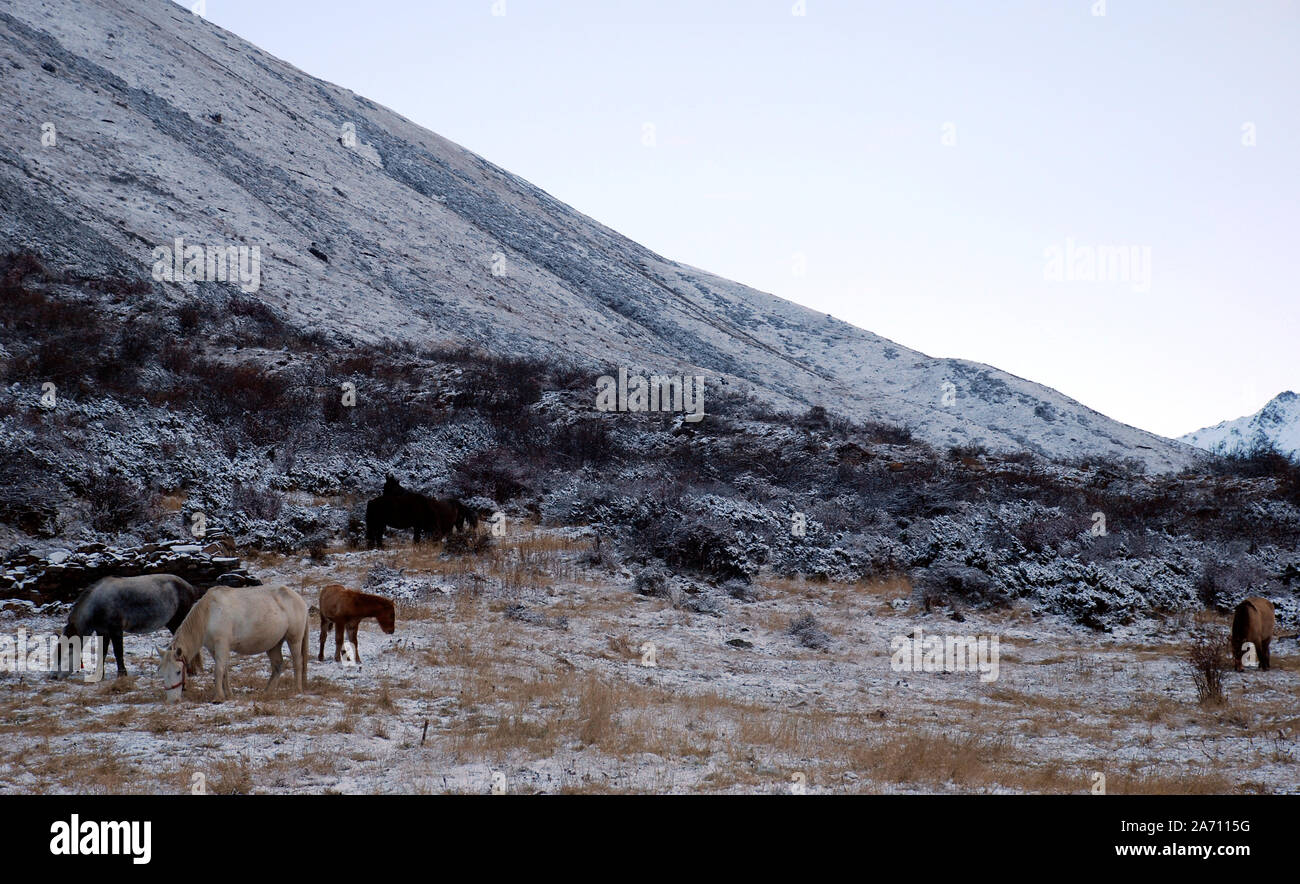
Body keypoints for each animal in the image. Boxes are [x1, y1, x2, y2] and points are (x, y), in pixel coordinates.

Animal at [56, 577, 202, 681]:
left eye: (64, 655)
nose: (53, 676)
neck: (98, 603)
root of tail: (190, 587)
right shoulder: (103, 632)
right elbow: (102, 652)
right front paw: (99, 675)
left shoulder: (116, 630)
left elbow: (118, 652)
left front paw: (122, 674)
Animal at [156, 582, 308, 702]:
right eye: (162, 673)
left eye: (178, 671)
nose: (173, 700)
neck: (209, 614)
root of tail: (299, 599)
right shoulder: (214, 648)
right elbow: (225, 670)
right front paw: (228, 694)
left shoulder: (222, 644)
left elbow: (218, 670)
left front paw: (218, 697)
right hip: (273, 644)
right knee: (278, 665)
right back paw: (267, 692)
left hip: (294, 639)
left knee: (297, 662)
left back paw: (297, 689)